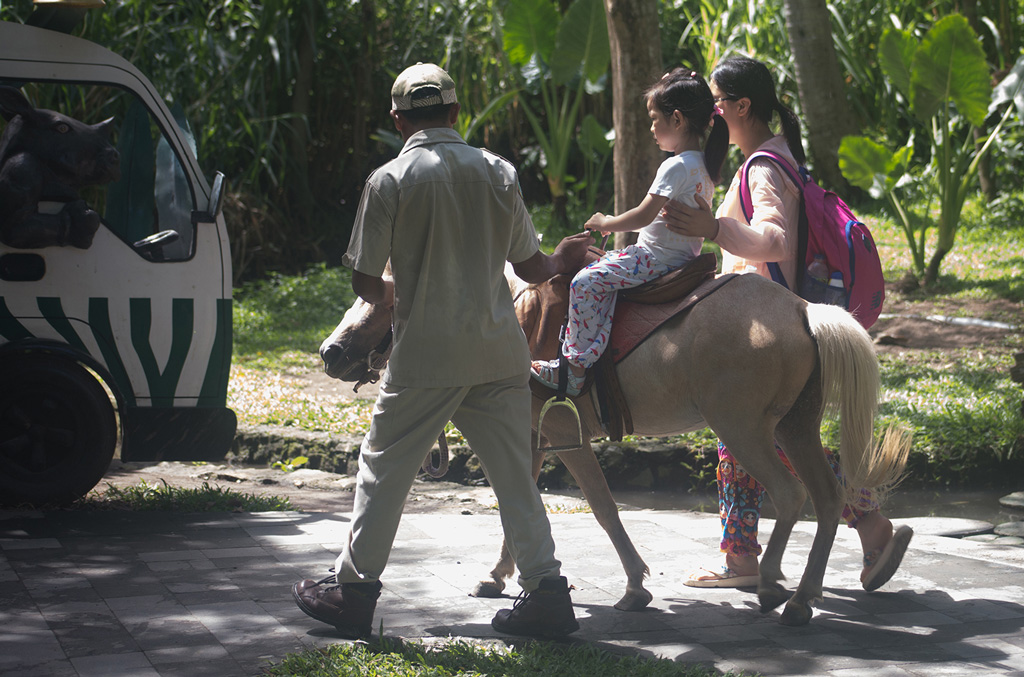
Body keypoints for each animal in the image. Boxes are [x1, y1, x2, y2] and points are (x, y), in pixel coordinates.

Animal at [317, 266, 905, 622]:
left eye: (384, 297)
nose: (330, 352)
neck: (510, 321)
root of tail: (803, 310)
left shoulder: (564, 439)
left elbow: (601, 508)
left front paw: (634, 587)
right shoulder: (530, 439)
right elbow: (519, 505)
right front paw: (500, 575)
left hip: (743, 429)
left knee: (789, 496)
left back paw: (770, 587)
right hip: (792, 428)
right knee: (828, 498)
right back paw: (803, 597)